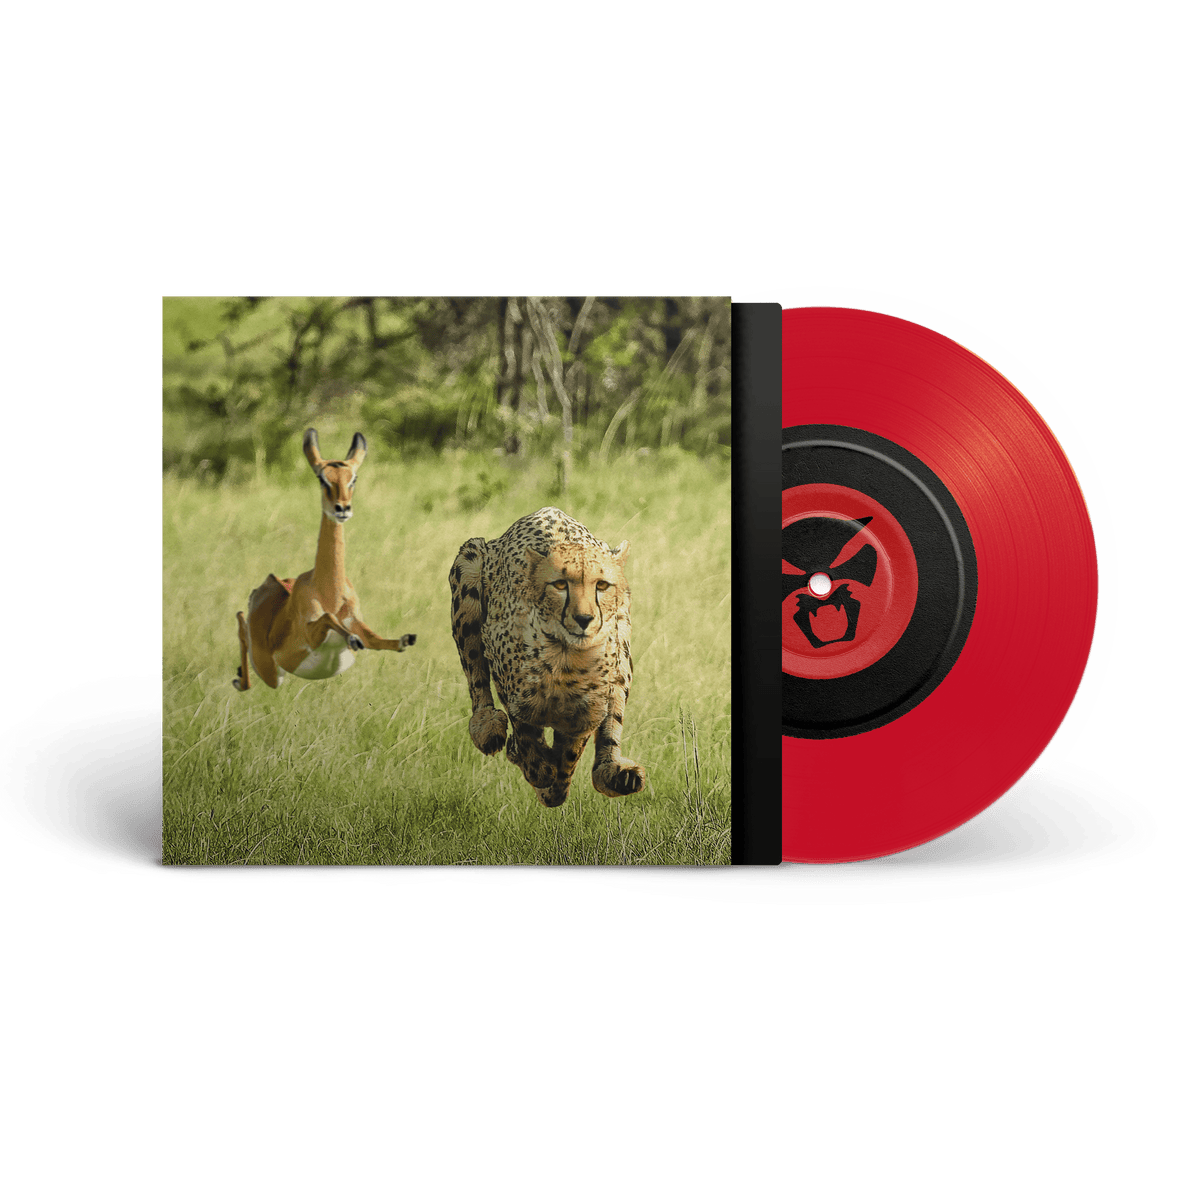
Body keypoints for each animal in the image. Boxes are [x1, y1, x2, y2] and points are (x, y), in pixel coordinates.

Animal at [233, 429, 416, 692]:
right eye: (322, 478)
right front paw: (352, 638)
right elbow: (330, 619)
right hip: (270, 672)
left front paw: (405, 639)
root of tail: (266, 584)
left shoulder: (356, 621)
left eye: (353, 478)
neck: (330, 593)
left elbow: (376, 638)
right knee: (240, 621)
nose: (342, 508)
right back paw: (238, 680)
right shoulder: (312, 633)